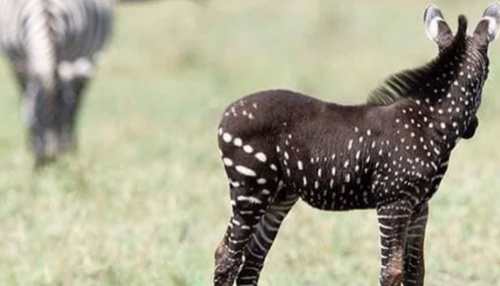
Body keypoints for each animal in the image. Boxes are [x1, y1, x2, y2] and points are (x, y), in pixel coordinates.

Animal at [0, 0, 114, 165]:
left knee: (78, 100)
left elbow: (71, 106)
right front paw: (31, 145)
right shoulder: (17, 62)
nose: (50, 158)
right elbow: (24, 97)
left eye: (60, 119)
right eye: (35, 119)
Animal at [213, 3, 498, 286]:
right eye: (487, 74)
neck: (427, 124)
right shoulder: (393, 202)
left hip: (279, 195)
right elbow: (392, 272)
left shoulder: (419, 206)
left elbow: (416, 271)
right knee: (226, 256)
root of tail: (227, 113)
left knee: (251, 261)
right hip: (250, 190)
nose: (474, 128)